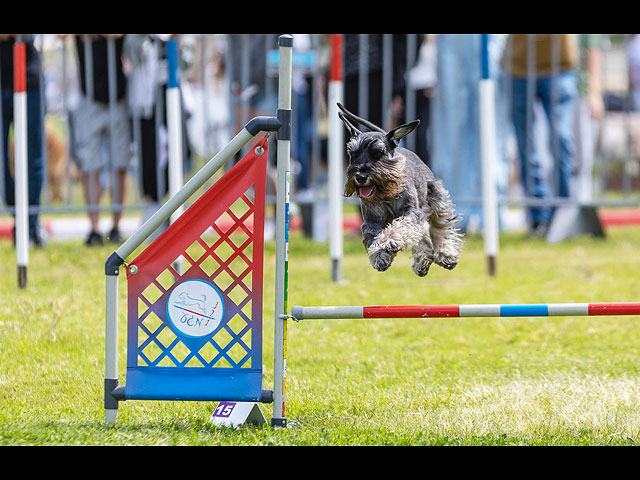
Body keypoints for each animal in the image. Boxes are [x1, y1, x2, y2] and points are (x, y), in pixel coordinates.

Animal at [338, 104, 462, 278]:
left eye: (379, 152)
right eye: (352, 154)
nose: (361, 176)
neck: (386, 193)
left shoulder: (412, 213)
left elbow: (400, 228)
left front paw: (390, 241)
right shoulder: (372, 221)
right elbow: (373, 239)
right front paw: (380, 256)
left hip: (437, 198)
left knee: (441, 226)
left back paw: (446, 255)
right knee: (422, 236)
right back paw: (422, 261)